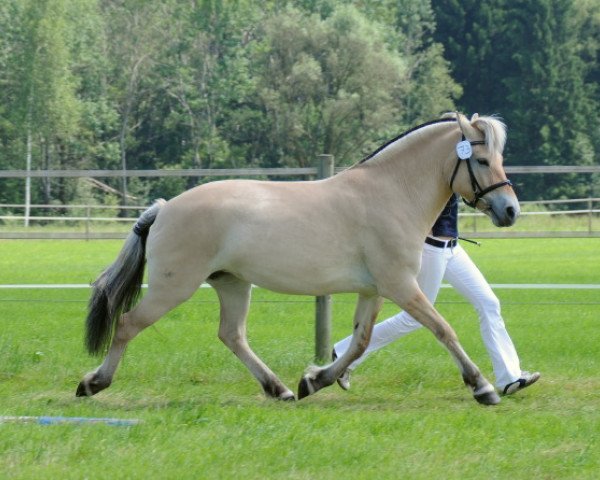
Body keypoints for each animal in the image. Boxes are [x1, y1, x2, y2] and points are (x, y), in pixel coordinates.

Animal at [76, 112, 520, 404]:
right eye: (482, 160)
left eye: (499, 159)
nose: (510, 210)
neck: (391, 193)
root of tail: (165, 208)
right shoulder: (400, 286)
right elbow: (443, 329)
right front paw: (482, 387)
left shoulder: (374, 290)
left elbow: (360, 341)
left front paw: (315, 380)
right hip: (174, 287)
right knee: (128, 324)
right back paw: (93, 383)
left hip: (232, 283)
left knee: (232, 335)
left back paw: (280, 389)